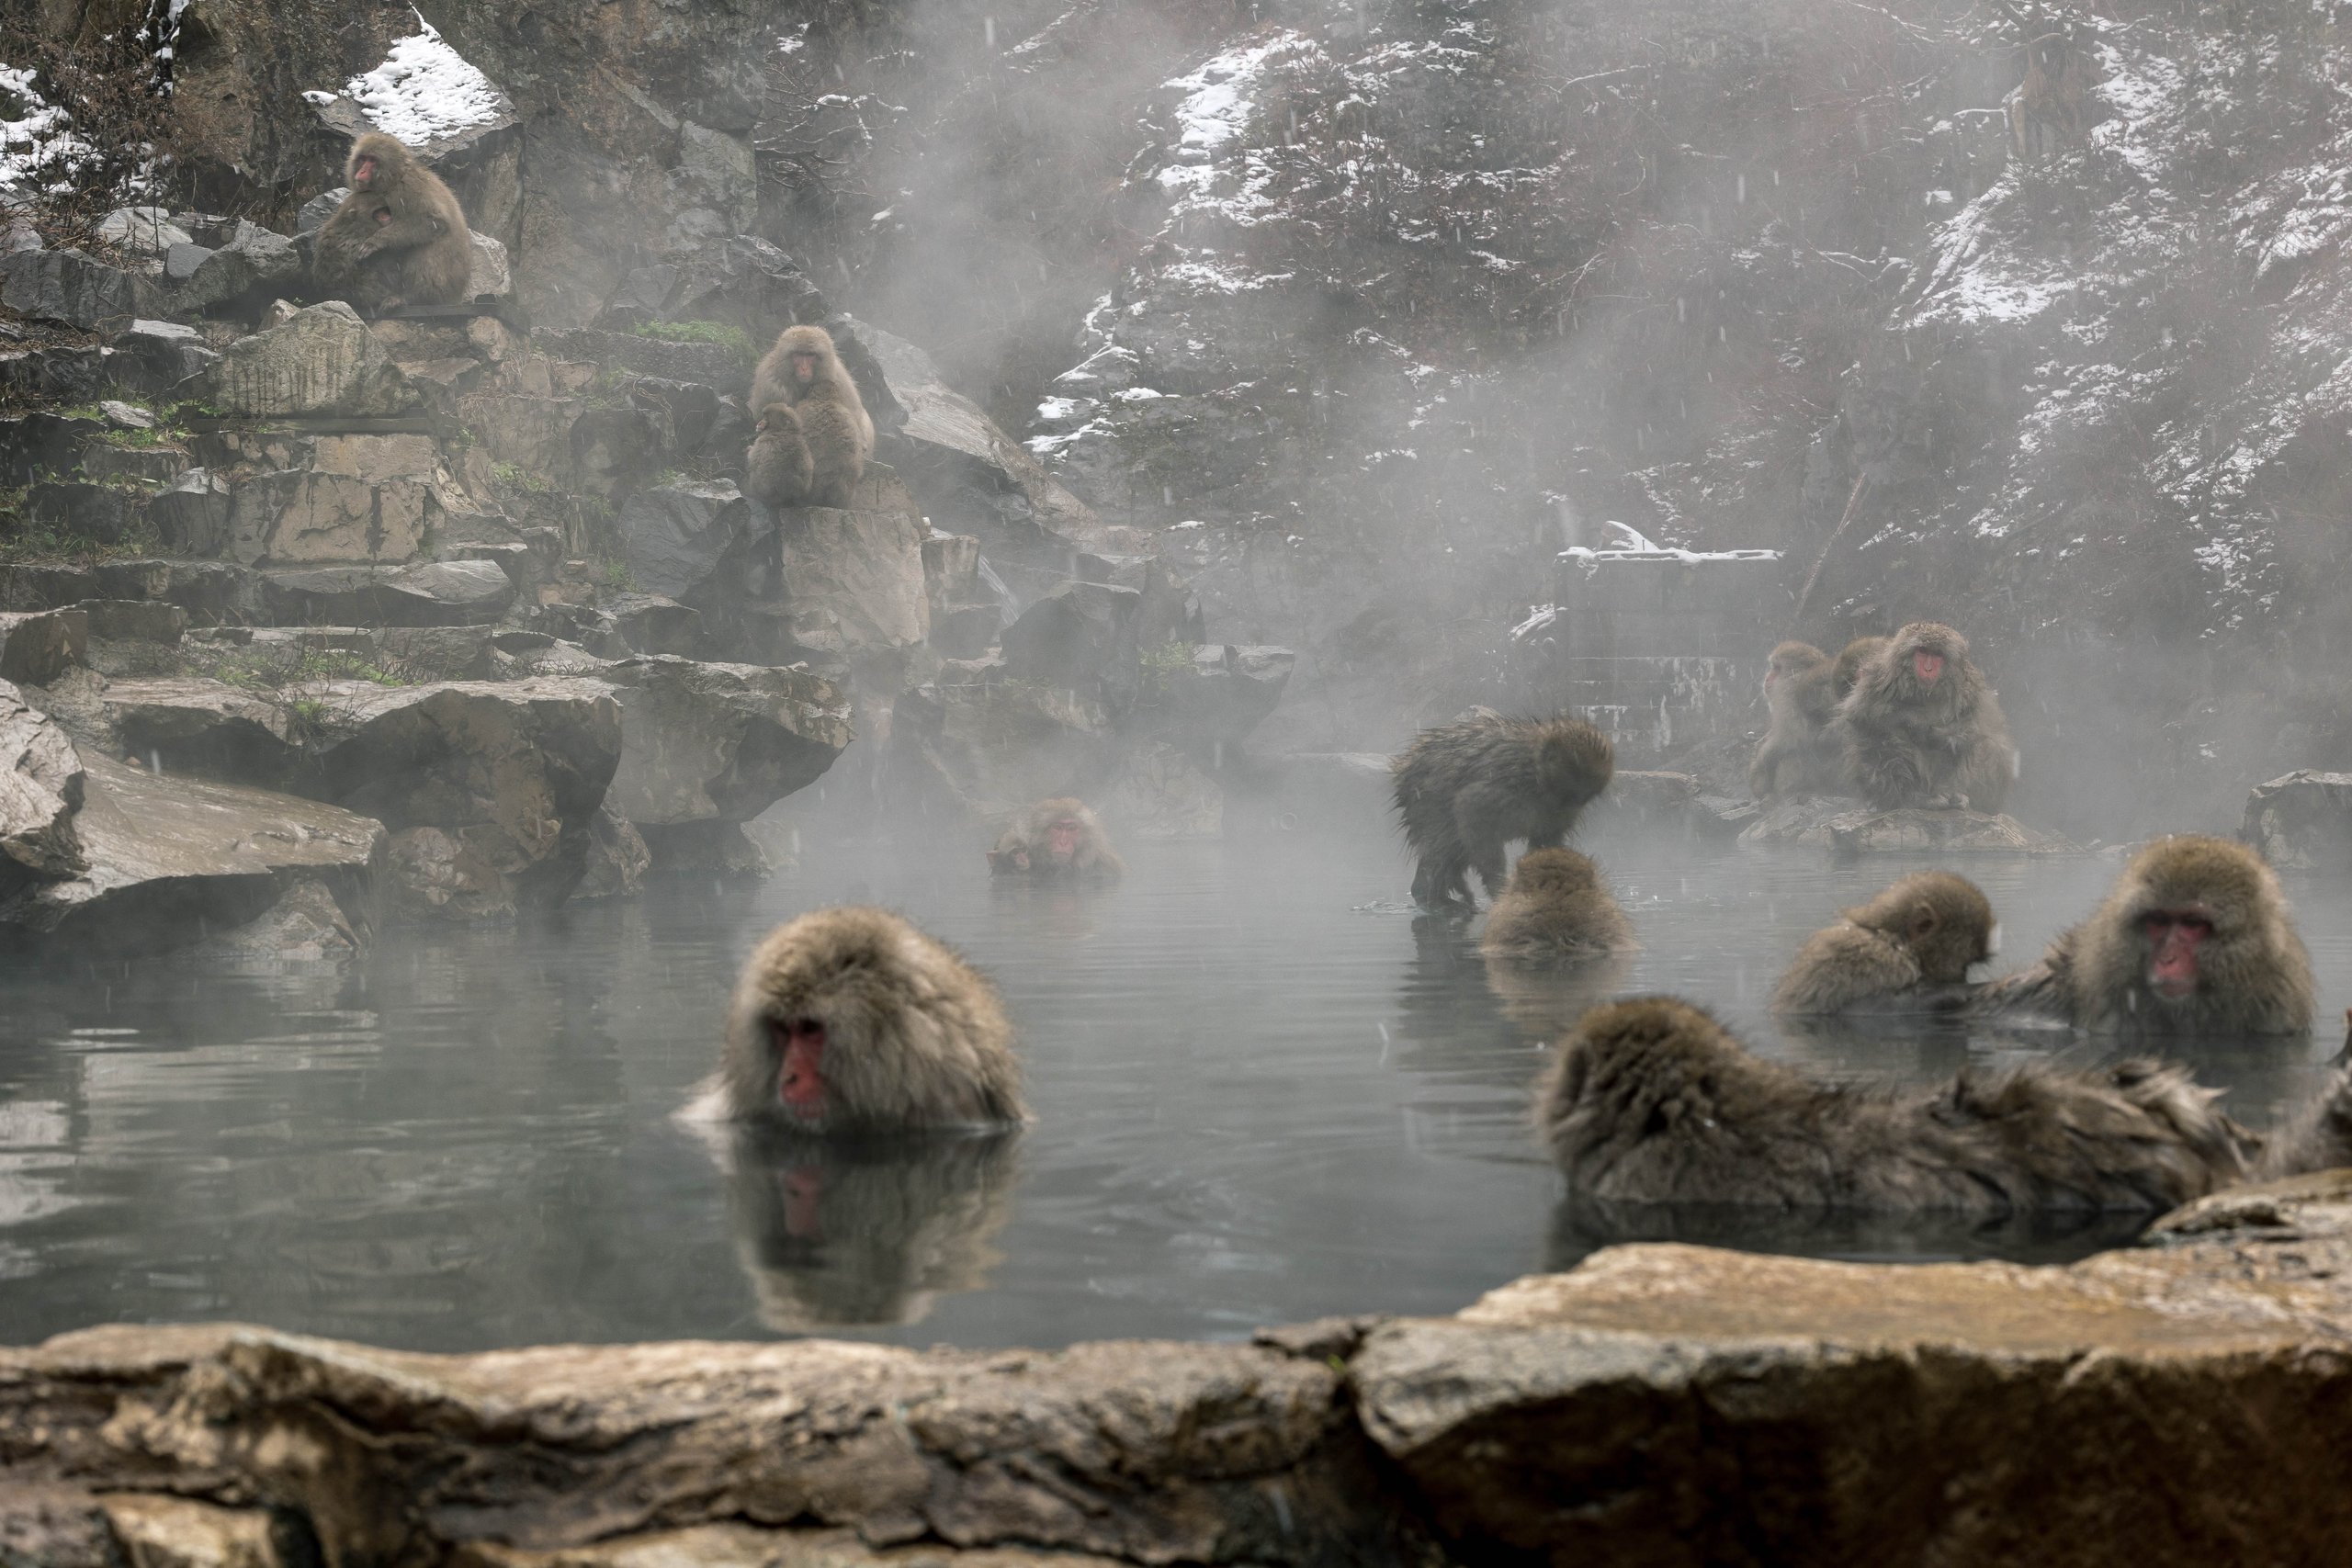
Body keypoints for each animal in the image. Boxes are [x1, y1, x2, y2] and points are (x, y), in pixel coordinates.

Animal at [310, 131, 474, 313]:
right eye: (363, 159)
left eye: (372, 160)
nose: (362, 171)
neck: (393, 179)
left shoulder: (405, 189)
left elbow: (432, 220)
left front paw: (376, 241)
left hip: (442, 285)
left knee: (424, 246)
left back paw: (411, 298)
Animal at [1392, 712, 1614, 911]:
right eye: (1569, 792)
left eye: (1584, 797)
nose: (1569, 806)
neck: (1537, 772)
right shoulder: (1509, 785)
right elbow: (1471, 807)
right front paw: (1499, 889)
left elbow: (1546, 841)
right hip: (1425, 801)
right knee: (1442, 841)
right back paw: (1430, 897)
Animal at [1746, 641, 1843, 798]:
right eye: (1773, 667)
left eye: (1777, 668)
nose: (1767, 678)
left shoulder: (1788, 694)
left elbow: (1794, 737)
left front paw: (1763, 756)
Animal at [1771, 870, 1997, 1015]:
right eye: (1964, 967)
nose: (1962, 979)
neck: (1891, 936)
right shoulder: (1881, 960)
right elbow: (1870, 1008)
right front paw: (1957, 993)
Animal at [1836, 621, 2018, 812]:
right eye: (1922, 651)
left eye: (1937, 654)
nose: (1928, 669)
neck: (1926, 690)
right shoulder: (1879, 678)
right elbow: (1866, 718)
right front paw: (1912, 720)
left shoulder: (1969, 689)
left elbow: (1967, 729)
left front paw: (1927, 729)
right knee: (1887, 736)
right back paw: (1912, 797)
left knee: (1983, 744)